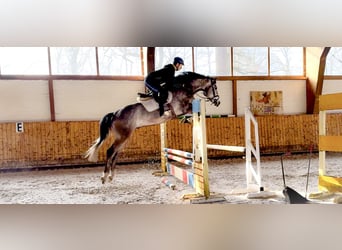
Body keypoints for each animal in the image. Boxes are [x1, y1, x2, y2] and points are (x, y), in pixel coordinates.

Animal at [84, 71, 220, 184]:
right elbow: (194, 110)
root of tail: (115, 114)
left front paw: (187, 120)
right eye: (215, 87)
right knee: (110, 151)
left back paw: (111, 176)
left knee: (116, 153)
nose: (218, 102)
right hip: (123, 136)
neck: (185, 89)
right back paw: (104, 176)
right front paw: (189, 119)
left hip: (124, 137)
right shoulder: (181, 109)